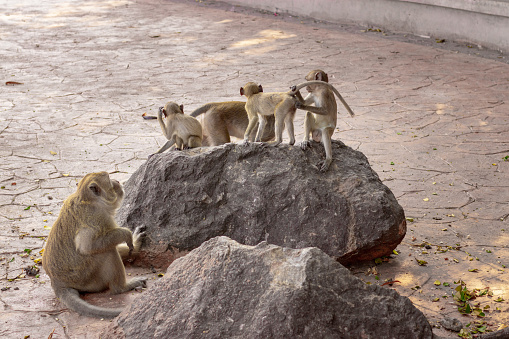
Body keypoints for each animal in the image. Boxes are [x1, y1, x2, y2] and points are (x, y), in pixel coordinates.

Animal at [42, 173, 146, 318]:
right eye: (109, 181)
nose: (117, 181)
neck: (89, 200)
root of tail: (56, 282)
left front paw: (134, 242)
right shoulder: (96, 217)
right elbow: (87, 247)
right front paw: (126, 234)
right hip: (86, 278)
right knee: (107, 251)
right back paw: (121, 287)